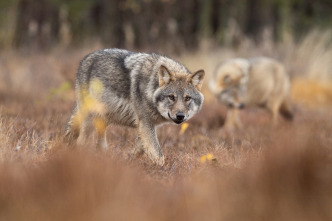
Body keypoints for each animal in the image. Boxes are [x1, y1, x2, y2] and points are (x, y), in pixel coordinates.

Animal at [65, 48, 205, 166]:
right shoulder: (145, 123)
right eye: (171, 97)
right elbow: (158, 154)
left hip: (102, 121)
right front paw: (161, 170)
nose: (180, 116)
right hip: (89, 120)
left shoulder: (147, 126)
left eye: (187, 98)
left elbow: (140, 150)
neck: (151, 87)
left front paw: (131, 164)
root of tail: (86, 58)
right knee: (80, 142)